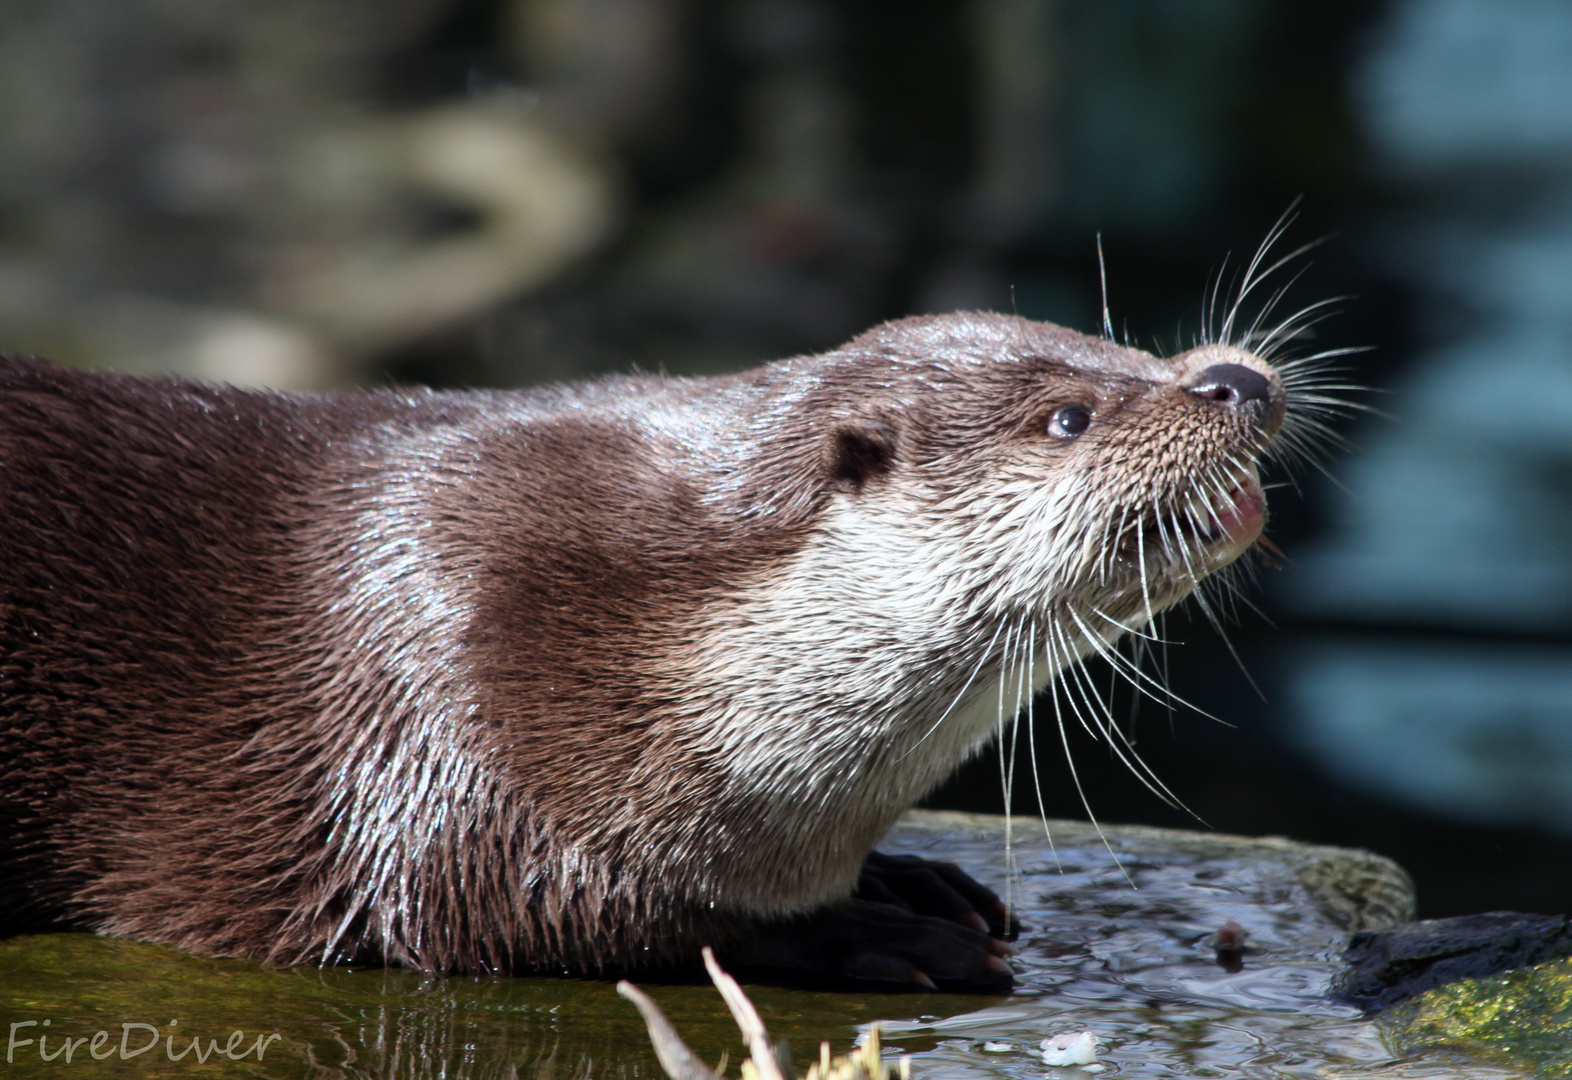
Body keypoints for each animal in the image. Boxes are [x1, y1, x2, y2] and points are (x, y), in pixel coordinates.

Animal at [0, 311, 1289, 987]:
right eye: (1069, 416)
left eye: (1122, 346)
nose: (1231, 378)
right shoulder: (446, 698)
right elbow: (507, 910)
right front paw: (876, 932)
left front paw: (912, 876)